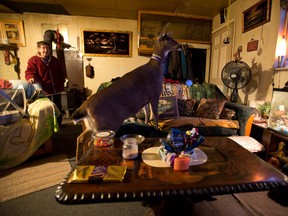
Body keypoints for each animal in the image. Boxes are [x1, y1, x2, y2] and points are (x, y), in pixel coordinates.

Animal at [71, 24, 180, 162]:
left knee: (80, 138)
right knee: (92, 141)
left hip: (92, 125)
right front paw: (156, 129)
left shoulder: (145, 98)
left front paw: (146, 125)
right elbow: (155, 115)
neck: (155, 68)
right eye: (169, 39)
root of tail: (84, 107)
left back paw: (77, 159)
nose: (180, 45)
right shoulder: (154, 93)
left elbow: (146, 113)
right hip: (105, 124)